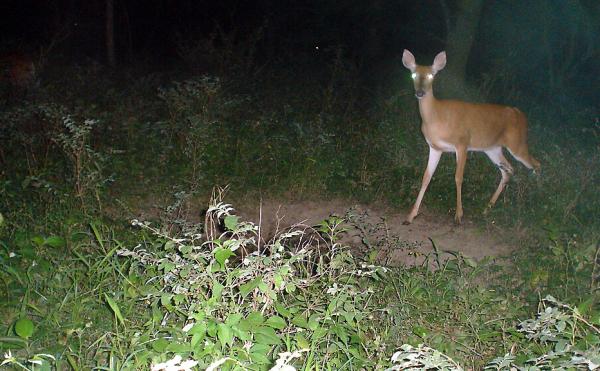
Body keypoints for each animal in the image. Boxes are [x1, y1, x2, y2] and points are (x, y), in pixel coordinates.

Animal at [404, 50, 540, 225]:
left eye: (431, 75)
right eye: (413, 74)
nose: (420, 93)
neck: (436, 116)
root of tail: (520, 114)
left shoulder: (462, 143)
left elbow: (458, 177)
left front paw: (458, 215)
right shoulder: (435, 147)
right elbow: (426, 177)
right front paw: (410, 216)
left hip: (517, 143)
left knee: (536, 164)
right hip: (493, 149)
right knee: (508, 170)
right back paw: (487, 209)